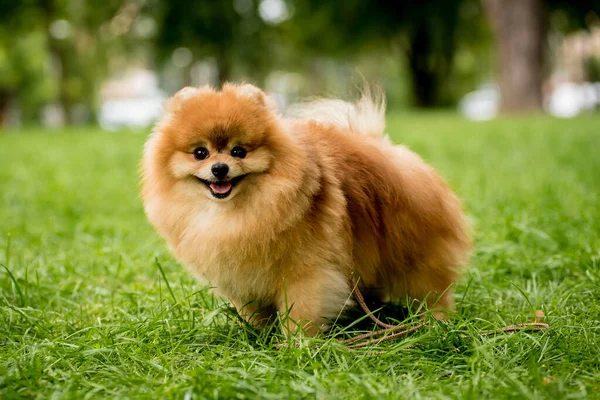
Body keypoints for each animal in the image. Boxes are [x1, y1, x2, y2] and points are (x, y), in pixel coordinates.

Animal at [143, 83, 472, 334]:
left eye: (239, 151)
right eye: (200, 153)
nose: (219, 168)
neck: (239, 212)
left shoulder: (307, 273)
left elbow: (300, 312)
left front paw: (295, 345)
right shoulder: (242, 277)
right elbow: (253, 312)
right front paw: (257, 336)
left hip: (414, 253)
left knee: (433, 289)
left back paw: (436, 322)